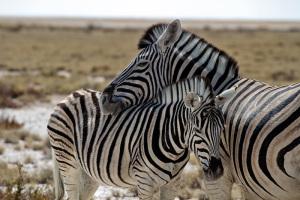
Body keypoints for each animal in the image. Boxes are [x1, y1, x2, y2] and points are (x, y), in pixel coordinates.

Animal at [47, 76, 234, 200]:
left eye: (222, 128)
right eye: (197, 129)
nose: (217, 170)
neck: (173, 147)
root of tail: (72, 95)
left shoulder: (173, 184)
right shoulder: (144, 183)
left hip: (88, 173)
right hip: (68, 163)